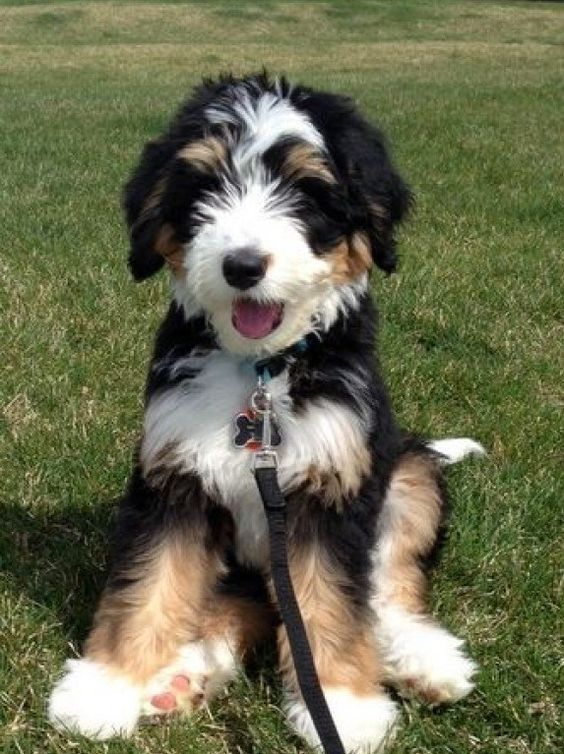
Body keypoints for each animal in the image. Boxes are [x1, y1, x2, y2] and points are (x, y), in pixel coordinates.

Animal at [48, 72, 482, 752]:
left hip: (408, 469)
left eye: (304, 192)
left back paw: (423, 661)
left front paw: (342, 705)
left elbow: (334, 600)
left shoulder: (334, 485)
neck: (262, 372)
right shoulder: (172, 479)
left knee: (387, 587)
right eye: (206, 188)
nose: (243, 265)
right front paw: (104, 687)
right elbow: (148, 583)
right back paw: (182, 675)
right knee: (235, 607)